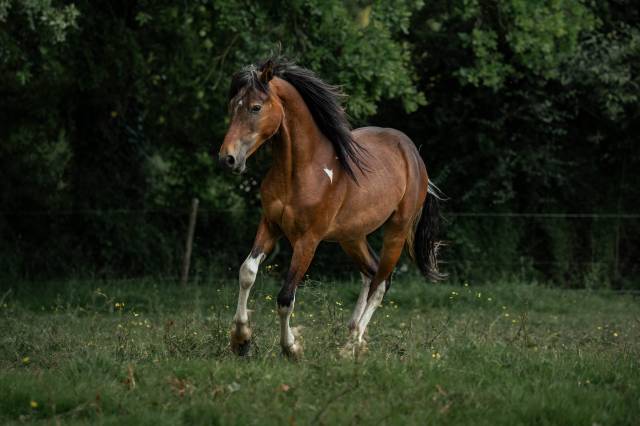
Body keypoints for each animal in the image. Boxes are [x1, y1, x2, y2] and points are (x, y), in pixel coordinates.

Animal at [218, 55, 442, 356]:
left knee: (381, 282)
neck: (300, 170)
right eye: (233, 106)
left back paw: (352, 345)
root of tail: (414, 155)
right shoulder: (270, 225)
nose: (228, 159)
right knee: (370, 273)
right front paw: (241, 340)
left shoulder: (308, 240)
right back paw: (352, 334)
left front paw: (291, 347)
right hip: (352, 236)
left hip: (396, 231)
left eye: (255, 107)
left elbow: (285, 297)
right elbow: (247, 273)